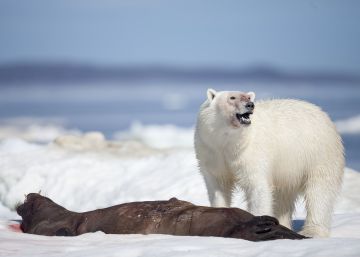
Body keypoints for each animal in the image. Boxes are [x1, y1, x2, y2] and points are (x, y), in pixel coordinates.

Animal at [195, 88, 344, 236]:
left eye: (248, 97)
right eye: (232, 97)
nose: (250, 105)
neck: (229, 142)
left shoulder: (251, 153)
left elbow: (257, 187)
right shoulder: (212, 152)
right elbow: (218, 187)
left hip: (318, 155)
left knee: (319, 192)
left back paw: (312, 231)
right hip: (288, 169)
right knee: (282, 197)